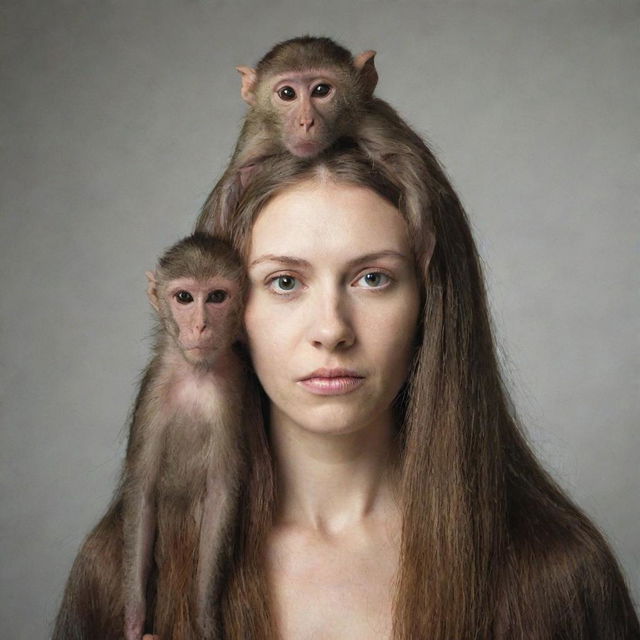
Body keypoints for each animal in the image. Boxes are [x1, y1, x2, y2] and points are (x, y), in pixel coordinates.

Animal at [52, 234, 252, 640]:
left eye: (217, 297)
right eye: (184, 298)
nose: (201, 326)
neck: (194, 375)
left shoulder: (231, 389)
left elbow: (221, 494)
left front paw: (205, 621)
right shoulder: (155, 392)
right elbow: (142, 490)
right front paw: (134, 623)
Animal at [198, 35, 440, 258]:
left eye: (321, 90)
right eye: (287, 93)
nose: (306, 122)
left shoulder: (373, 120)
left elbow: (404, 165)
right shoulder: (257, 131)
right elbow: (233, 181)